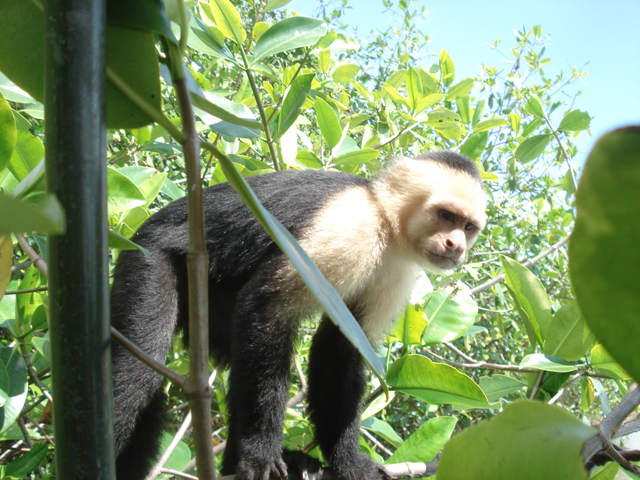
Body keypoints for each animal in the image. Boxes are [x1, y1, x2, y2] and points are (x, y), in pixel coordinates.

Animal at [110, 151, 487, 480]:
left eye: (468, 227)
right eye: (445, 215)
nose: (456, 246)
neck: (386, 224)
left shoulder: (398, 270)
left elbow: (340, 350)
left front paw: (347, 461)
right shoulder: (348, 226)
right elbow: (267, 310)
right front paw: (260, 452)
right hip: (148, 253)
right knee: (138, 374)